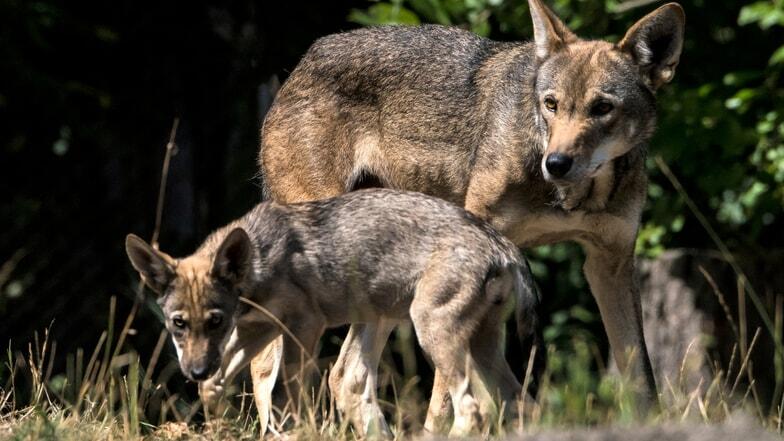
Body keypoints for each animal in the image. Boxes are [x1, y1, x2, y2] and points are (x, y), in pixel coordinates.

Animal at [125, 189, 539, 436]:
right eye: (179, 323)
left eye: (215, 320)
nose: (194, 369)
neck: (260, 263)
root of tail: (502, 245)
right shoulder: (257, 330)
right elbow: (214, 386)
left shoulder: (305, 327)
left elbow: (286, 397)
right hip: (482, 351)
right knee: (523, 405)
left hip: (432, 336)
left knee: (471, 409)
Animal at [254, 0, 685, 426]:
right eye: (551, 104)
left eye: (602, 108)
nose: (556, 163)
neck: (570, 197)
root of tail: (308, 58)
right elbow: (446, 396)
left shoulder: (610, 264)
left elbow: (641, 374)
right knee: (270, 366)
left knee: (346, 377)